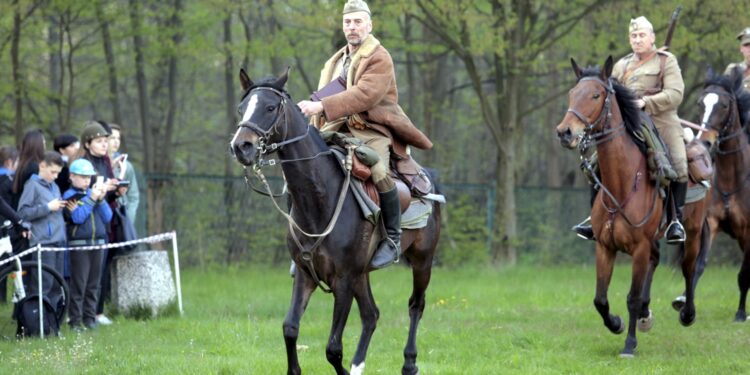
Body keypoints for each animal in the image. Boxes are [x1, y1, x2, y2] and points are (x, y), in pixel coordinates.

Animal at [229, 68, 440, 375]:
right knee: (371, 315)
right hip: (363, 274)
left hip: (422, 260)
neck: (319, 202)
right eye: (242, 108)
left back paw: (409, 363)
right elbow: (290, 328)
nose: (241, 146)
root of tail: (428, 177)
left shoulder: (343, 280)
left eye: (269, 107)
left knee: (416, 305)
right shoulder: (306, 274)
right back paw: (359, 365)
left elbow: (332, 348)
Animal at [560, 56, 704, 358]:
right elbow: (600, 299)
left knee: (689, 269)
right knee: (656, 261)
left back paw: (687, 313)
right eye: (572, 93)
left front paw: (629, 344)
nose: (565, 132)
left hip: (694, 233)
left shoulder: (638, 248)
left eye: (595, 95)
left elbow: (632, 297)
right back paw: (646, 316)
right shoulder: (605, 247)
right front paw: (616, 324)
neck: (623, 183)